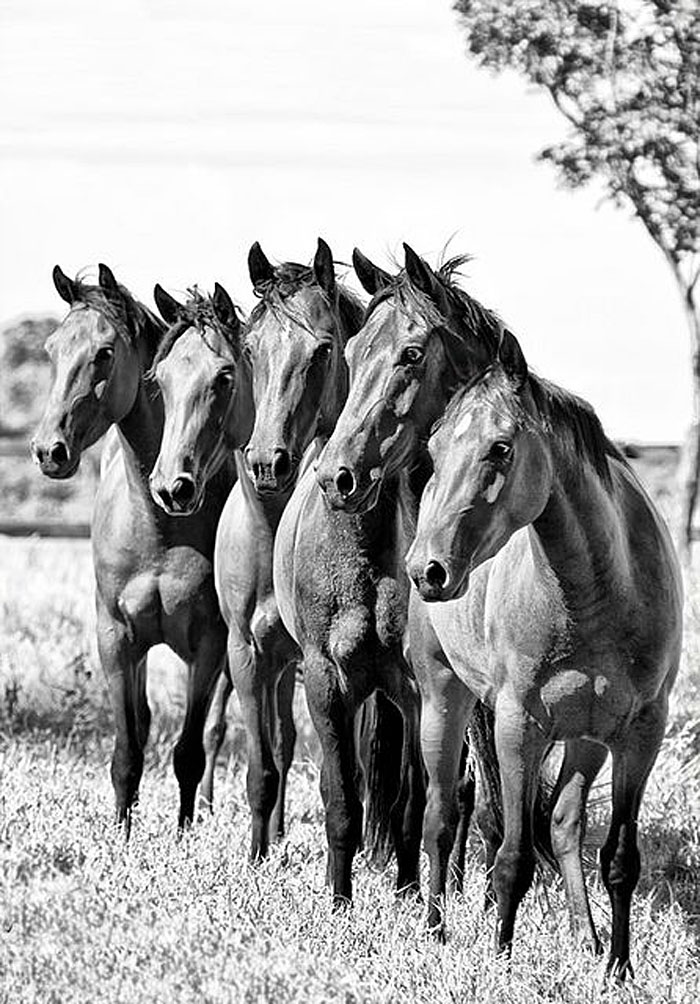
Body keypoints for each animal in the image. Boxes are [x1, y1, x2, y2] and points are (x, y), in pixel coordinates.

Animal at [403, 333, 682, 975]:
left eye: (500, 447)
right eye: (434, 449)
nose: (427, 570)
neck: (599, 592)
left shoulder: (641, 732)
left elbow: (619, 858)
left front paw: (618, 968)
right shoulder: (517, 726)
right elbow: (511, 859)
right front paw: (501, 960)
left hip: (586, 736)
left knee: (562, 823)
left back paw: (588, 939)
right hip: (442, 699)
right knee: (439, 815)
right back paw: (434, 927)